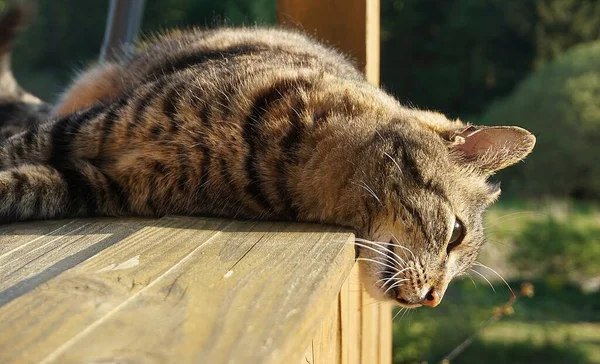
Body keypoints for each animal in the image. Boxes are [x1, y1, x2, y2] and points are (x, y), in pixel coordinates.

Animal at [0, 4, 536, 308]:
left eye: (461, 268)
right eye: (455, 234)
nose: (433, 300)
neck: (291, 159)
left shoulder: (109, 185)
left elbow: (25, 188)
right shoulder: (92, 127)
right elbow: (15, 151)